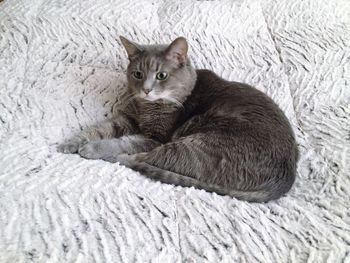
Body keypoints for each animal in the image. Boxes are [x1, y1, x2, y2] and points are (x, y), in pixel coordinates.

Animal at [58, 36, 298, 203]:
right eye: (137, 74)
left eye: (161, 75)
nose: (146, 90)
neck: (148, 107)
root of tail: (285, 179)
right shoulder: (127, 119)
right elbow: (99, 128)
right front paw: (71, 142)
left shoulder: (155, 137)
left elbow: (122, 142)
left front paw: (91, 148)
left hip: (199, 145)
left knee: (143, 158)